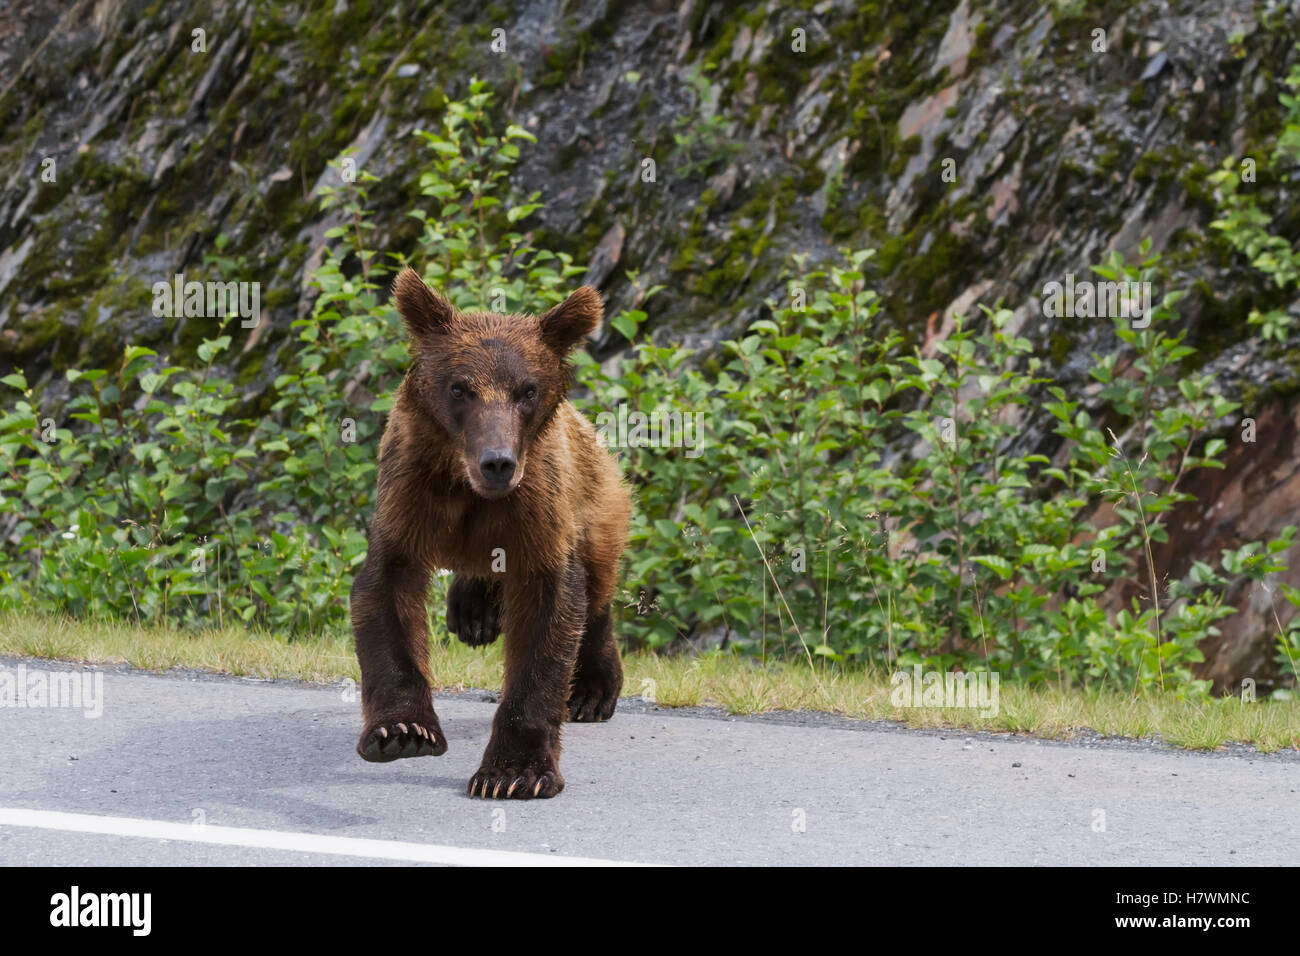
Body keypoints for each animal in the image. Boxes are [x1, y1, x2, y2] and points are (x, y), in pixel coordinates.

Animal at [348, 267, 631, 799]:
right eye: (460, 388)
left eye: (527, 389)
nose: (497, 461)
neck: (468, 487)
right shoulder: (410, 496)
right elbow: (387, 589)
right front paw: (403, 730)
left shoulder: (538, 507)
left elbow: (550, 611)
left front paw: (514, 772)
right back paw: (474, 613)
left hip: (598, 497)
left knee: (597, 584)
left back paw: (592, 691)